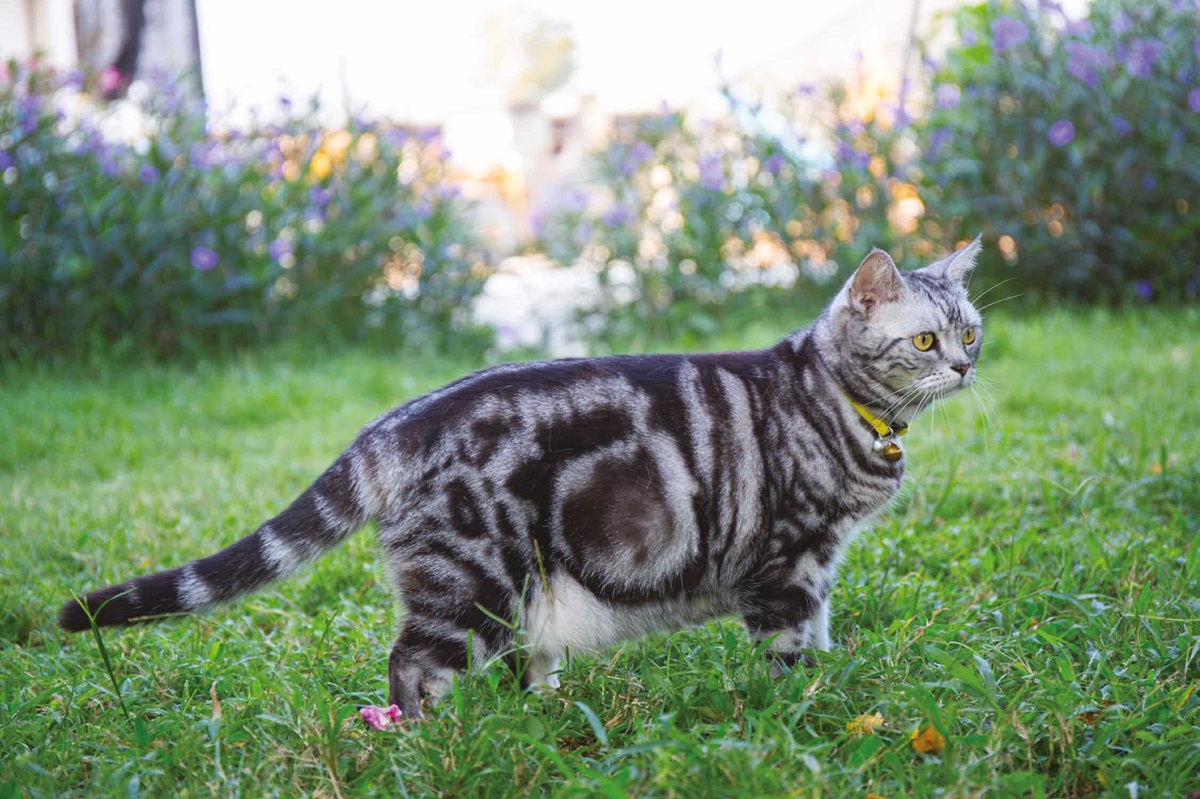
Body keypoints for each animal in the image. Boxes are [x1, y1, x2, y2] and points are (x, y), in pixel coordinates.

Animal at [58, 236, 984, 715]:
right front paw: (809, 707)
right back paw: (433, 740)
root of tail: (392, 422)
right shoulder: (788, 561)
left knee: (510, 662)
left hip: (517, 595)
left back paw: (538, 714)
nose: (967, 366)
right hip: (470, 581)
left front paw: (833, 685)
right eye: (925, 340)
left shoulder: (819, 566)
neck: (843, 405)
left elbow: (820, 633)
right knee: (411, 665)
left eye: (970, 328)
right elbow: (790, 649)